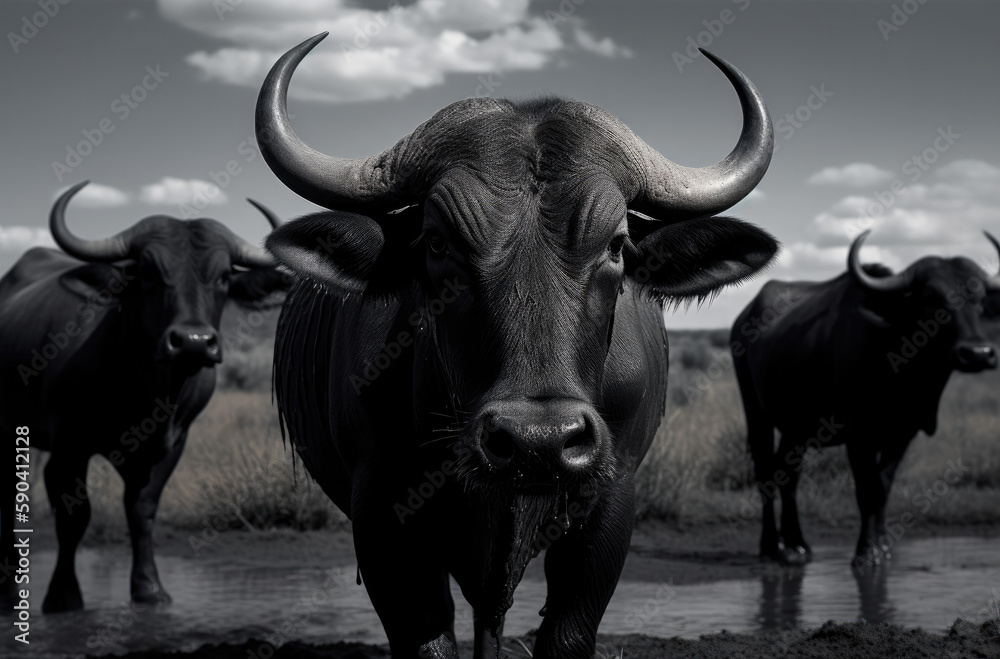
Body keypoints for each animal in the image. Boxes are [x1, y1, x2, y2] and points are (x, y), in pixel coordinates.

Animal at [0, 182, 288, 612]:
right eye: (149, 272)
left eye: (223, 277)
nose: (193, 341)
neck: (144, 390)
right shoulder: (68, 450)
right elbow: (74, 518)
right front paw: (64, 597)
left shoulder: (169, 445)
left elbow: (142, 510)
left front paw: (149, 589)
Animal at [259, 34, 778, 658]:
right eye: (437, 243)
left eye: (616, 244)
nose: (539, 442)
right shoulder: (382, 517)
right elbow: (428, 638)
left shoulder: (611, 505)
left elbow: (567, 634)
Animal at [733, 230, 1000, 569]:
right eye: (931, 299)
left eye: (979, 301)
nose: (978, 353)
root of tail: (743, 319)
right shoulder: (858, 435)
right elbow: (867, 489)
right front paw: (866, 552)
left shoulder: (903, 433)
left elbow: (883, 488)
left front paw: (882, 547)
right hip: (756, 413)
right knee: (766, 472)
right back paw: (771, 546)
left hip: (796, 427)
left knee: (788, 475)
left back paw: (797, 544)